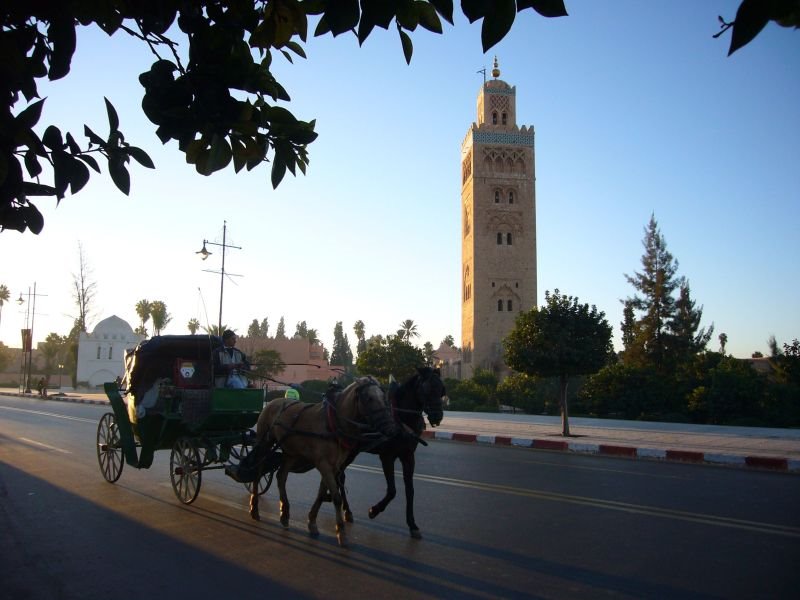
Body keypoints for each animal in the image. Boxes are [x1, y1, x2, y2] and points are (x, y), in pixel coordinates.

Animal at [336, 366, 446, 540]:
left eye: (442, 389)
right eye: (427, 389)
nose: (437, 416)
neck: (401, 417)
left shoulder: (408, 456)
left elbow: (410, 490)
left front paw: (412, 524)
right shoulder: (387, 456)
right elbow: (392, 490)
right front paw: (374, 510)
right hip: (349, 450)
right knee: (339, 475)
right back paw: (346, 510)